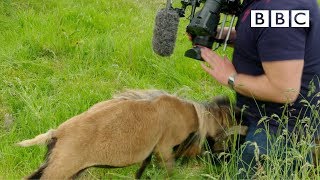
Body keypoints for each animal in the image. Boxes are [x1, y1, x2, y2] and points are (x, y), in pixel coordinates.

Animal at [17, 89, 248, 179]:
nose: (227, 156)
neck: (189, 113)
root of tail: (57, 132)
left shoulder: (150, 153)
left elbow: (140, 171)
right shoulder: (164, 148)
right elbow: (170, 170)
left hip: (57, 165)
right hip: (61, 168)